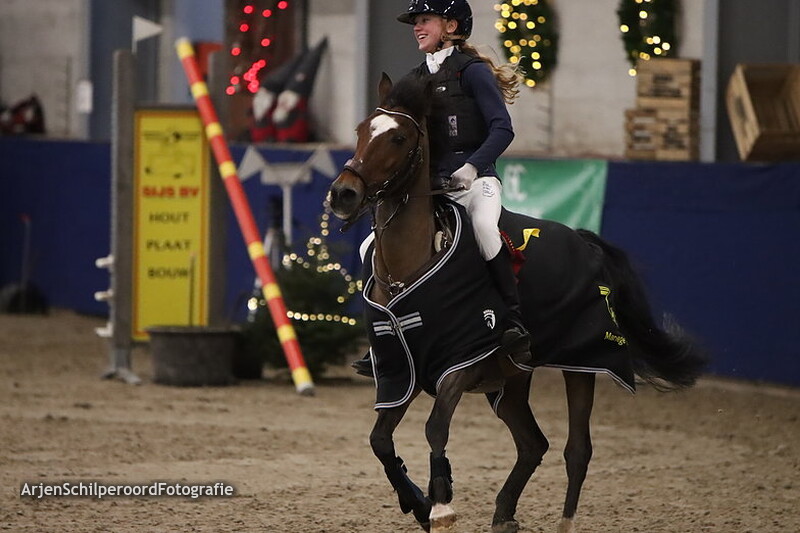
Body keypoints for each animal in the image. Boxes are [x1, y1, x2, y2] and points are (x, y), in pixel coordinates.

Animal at [328, 73, 707, 533]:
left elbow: (436, 428)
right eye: (361, 131)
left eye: (398, 138)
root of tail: (584, 241)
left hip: (583, 364)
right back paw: (504, 513)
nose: (343, 195)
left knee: (576, 450)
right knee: (532, 443)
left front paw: (441, 505)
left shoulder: (461, 362)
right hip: (511, 381)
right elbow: (380, 441)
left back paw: (563, 523)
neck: (411, 265)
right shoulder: (400, 371)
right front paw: (417, 504)